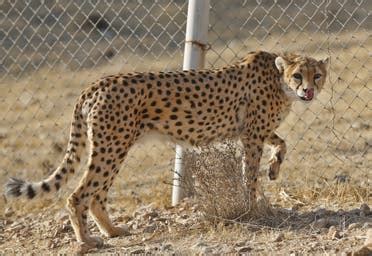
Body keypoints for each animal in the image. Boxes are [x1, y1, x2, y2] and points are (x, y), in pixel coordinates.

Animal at [5, 51, 328, 251]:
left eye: (318, 75)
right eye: (298, 75)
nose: (308, 91)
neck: (279, 81)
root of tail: (96, 83)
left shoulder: (253, 132)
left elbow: (281, 143)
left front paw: (274, 168)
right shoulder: (251, 135)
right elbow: (249, 175)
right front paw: (254, 206)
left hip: (114, 147)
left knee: (96, 194)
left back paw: (113, 231)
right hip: (112, 146)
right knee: (79, 194)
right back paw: (87, 241)